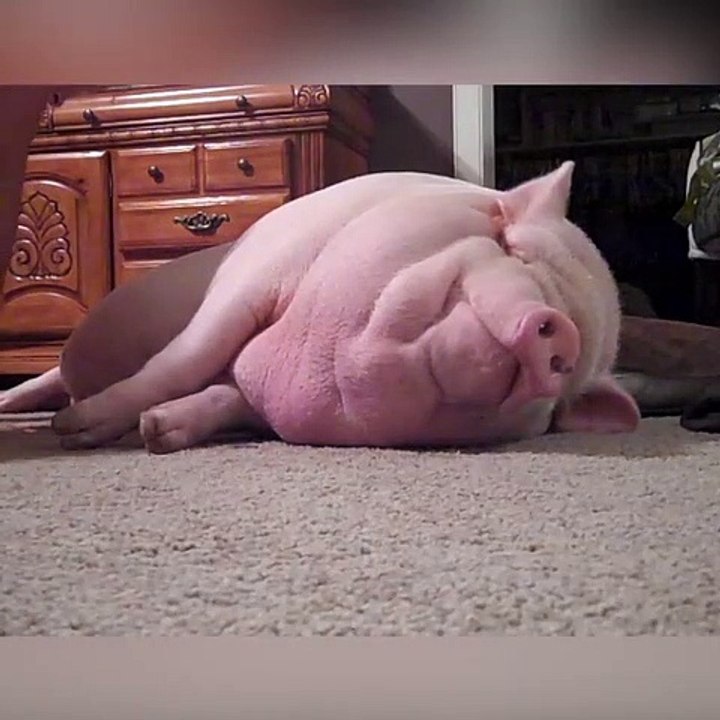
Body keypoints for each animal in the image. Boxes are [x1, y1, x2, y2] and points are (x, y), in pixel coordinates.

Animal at [0, 161, 640, 453]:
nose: (560, 331)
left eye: (571, 380)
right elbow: (183, 359)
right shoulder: (254, 278)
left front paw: (157, 432)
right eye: (510, 246)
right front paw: (76, 432)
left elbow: (220, 395)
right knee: (48, 375)